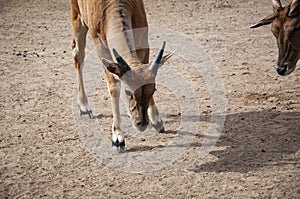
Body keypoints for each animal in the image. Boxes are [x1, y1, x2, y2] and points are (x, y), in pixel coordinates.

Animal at [70, 0, 173, 152]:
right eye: (128, 91)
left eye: (153, 89)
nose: (141, 123)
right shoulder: (101, 46)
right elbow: (114, 87)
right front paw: (118, 138)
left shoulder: (143, 40)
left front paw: (157, 121)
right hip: (77, 16)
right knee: (78, 54)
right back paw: (84, 106)